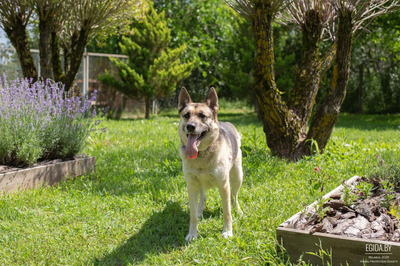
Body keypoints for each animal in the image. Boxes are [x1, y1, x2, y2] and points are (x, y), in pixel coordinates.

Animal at [178, 87, 244, 241]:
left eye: (202, 116)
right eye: (186, 115)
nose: (190, 126)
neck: (201, 154)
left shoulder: (224, 186)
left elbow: (227, 213)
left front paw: (227, 232)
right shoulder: (191, 186)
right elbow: (192, 216)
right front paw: (192, 234)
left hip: (238, 177)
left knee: (234, 197)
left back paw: (238, 210)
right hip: (199, 185)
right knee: (203, 197)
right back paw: (200, 210)